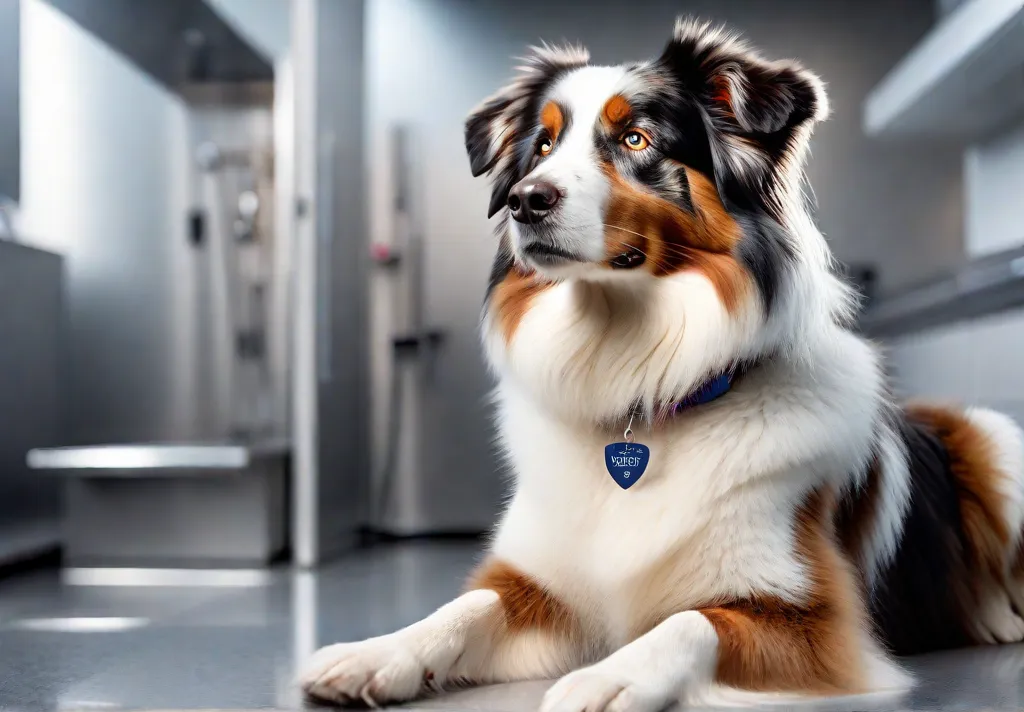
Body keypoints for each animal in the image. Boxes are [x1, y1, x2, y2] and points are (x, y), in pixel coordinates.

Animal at [299, 18, 1024, 712]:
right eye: (542, 146)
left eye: (636, 139)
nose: (526, 200)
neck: (636, 383)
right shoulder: (541, 585)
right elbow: (465, 606)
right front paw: (376, 652)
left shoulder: (812, 618)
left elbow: (688, 622)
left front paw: (608, 677)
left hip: (996, 439)